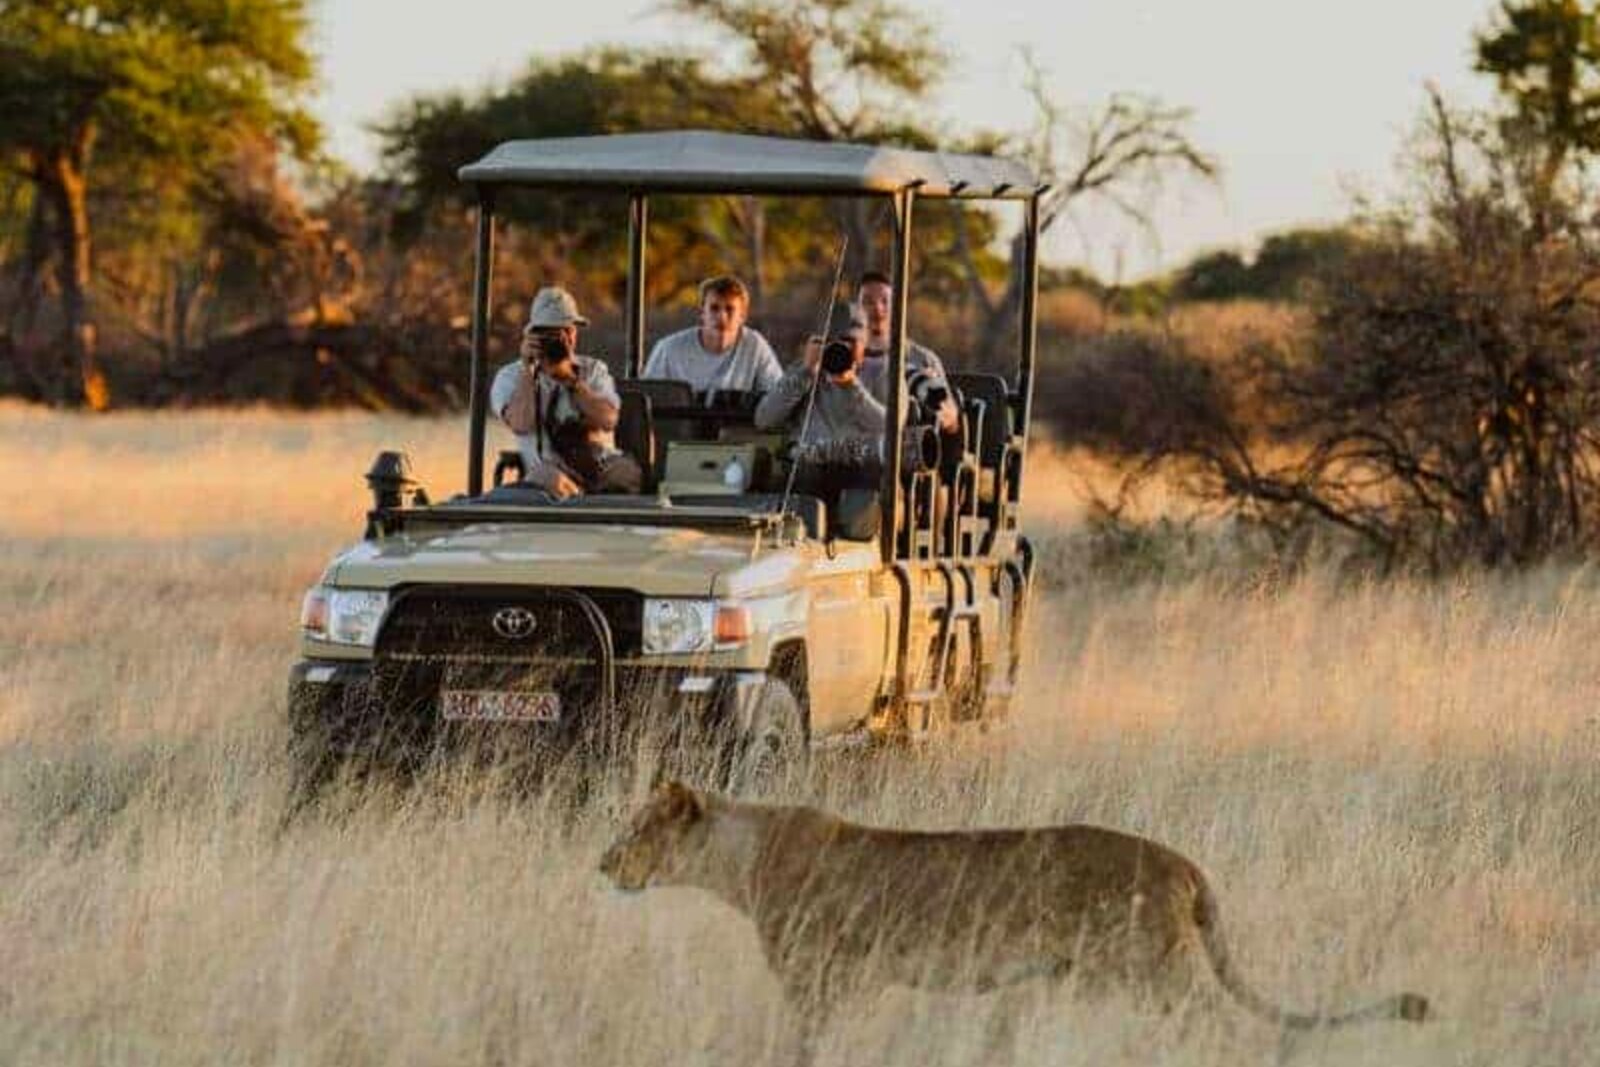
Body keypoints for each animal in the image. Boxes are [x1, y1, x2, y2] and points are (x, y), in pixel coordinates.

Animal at [600, 782, 1428, 1053]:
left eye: (637, 828)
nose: (604, 863)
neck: (738, 859)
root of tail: (1185, 864)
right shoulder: (854, 984)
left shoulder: (820, 979)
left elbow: (804, 1045)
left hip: (1155, 969)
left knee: (1220, 1029)